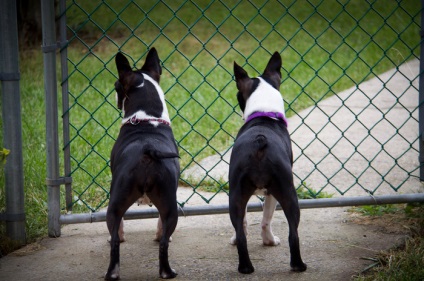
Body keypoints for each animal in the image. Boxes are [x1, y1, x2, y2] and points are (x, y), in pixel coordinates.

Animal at [106, 48, 181, 280]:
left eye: (116, 86)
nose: (113, 93)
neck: (147, 119)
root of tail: (148, 152)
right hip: (169, 204)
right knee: (164, 240)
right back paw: (165, 271)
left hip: (117, 200)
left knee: (115, 239)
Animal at [229, 51, 308, 272]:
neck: (264, 114)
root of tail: (259, 141)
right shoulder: (272, 193)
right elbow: (266, 218)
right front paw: (268, 241)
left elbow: (250, 222)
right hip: (287, 192)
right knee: (293, 233)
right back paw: (297, 265)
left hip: (238, 194)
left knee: (242, 230)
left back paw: (246, 267)